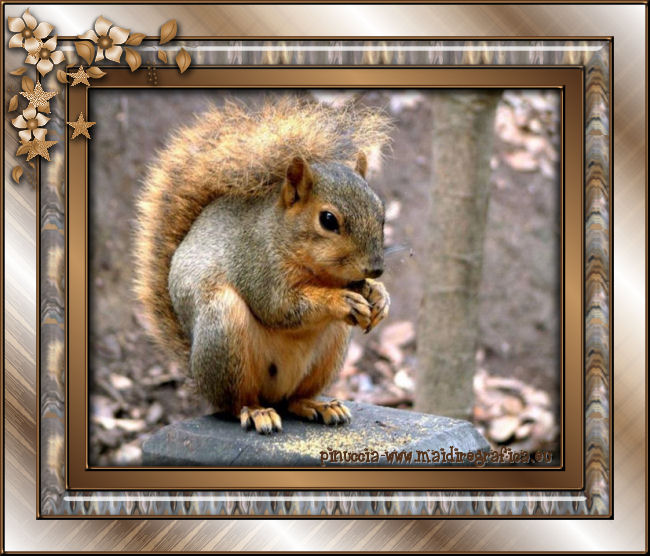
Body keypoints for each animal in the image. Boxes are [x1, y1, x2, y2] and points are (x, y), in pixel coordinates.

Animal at [134, 97, 392, 434]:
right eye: (328, 219)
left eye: (381, 211)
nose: (375, 269)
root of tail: (196, 371)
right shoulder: (257, 264)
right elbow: (279, 307)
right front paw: (339, 300)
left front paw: (379, 295)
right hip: (224, 329)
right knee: (236, 403)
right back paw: (257, 412)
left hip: (330, 349)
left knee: (294, 399)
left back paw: (317, 405)